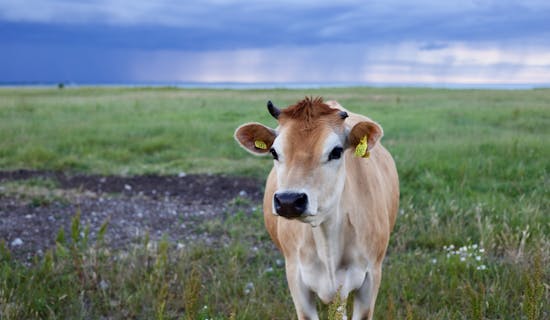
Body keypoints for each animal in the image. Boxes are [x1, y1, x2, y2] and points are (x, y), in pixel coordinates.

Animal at [234, 97, 402, 320]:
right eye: (274, 152)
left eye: (336, 151)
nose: (288, 200)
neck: (327, 237)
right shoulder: (296, 278)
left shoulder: (371, 277)